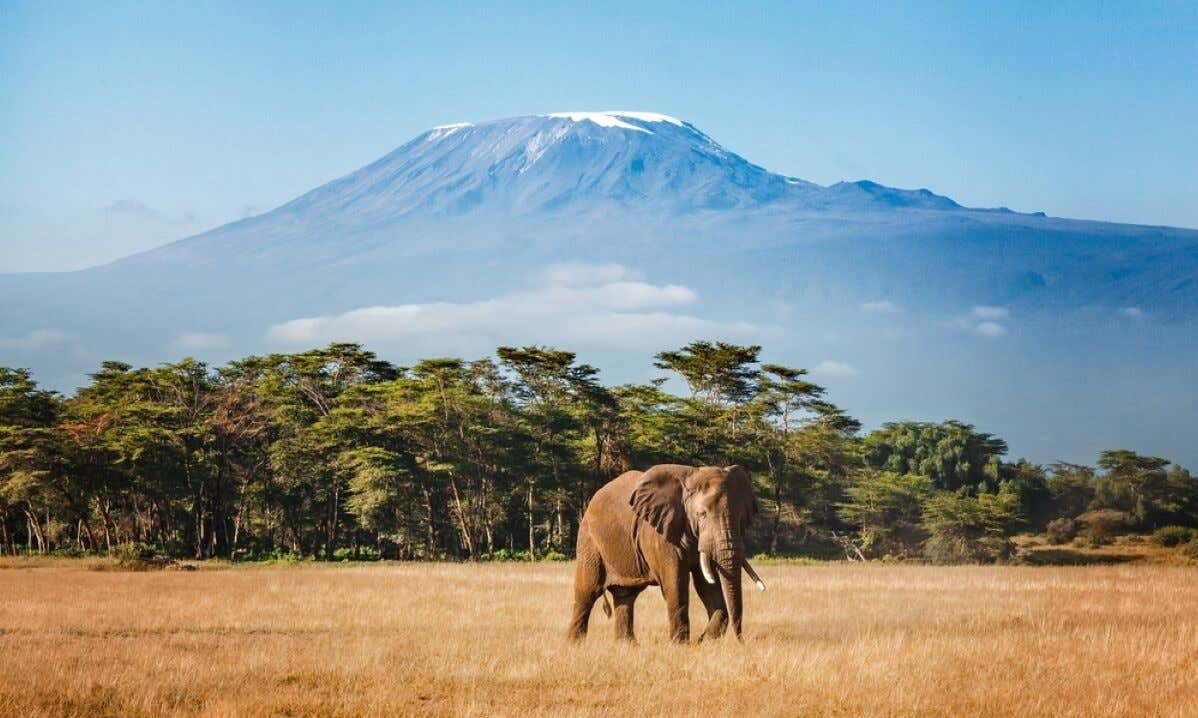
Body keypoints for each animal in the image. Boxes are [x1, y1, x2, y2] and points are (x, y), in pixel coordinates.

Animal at [566, 464, 766, 643]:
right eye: (702, 514)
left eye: (740, 517)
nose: (741, 641)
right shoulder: (659, 534)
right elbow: (675, 583)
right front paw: (680, 645)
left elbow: (707, 584)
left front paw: (703, 642)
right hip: (589, 541)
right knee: (587, 591)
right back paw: (574, 645)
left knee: (625, 595)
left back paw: (626, 646)